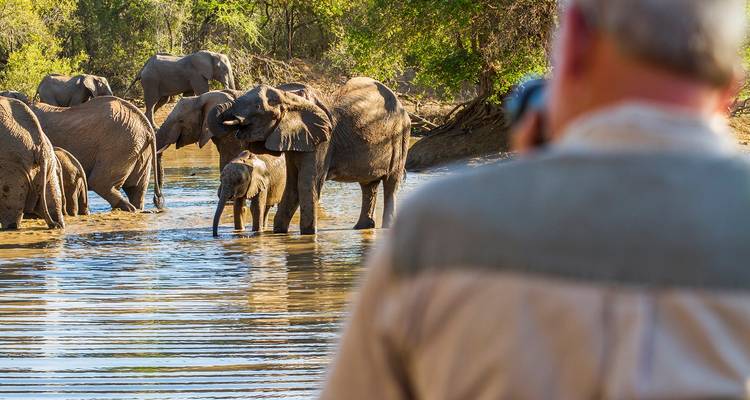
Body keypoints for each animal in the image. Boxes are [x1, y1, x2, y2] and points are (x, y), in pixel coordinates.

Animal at [24, 96, 164, 212]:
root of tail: (147, 128)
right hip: (138, 148)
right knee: (136, 188)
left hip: (119, 144)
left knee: (100, 183)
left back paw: (128, 209)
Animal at [209, 77, 411, 235]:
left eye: (258, 107)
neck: (291, 98)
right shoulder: (294, 137)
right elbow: (292, 186)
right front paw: (279, 233)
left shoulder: (322, 141)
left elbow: (306, 184)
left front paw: (307, 235)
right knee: (369, 185)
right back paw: (362, 228)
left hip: (401, 137)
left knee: (391, 183)